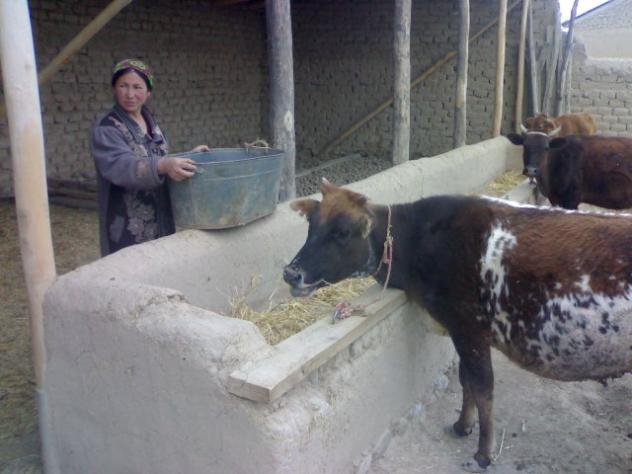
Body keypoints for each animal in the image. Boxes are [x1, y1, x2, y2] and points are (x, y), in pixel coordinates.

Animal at [283, 181, 632, 472]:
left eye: (341, 232)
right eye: (310, 228)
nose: (291, 273)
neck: (422, 241)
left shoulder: (468, 326)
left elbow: (482, 385)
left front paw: (483, 453)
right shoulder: (459, 330)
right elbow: (466, 380)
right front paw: (463, 425)